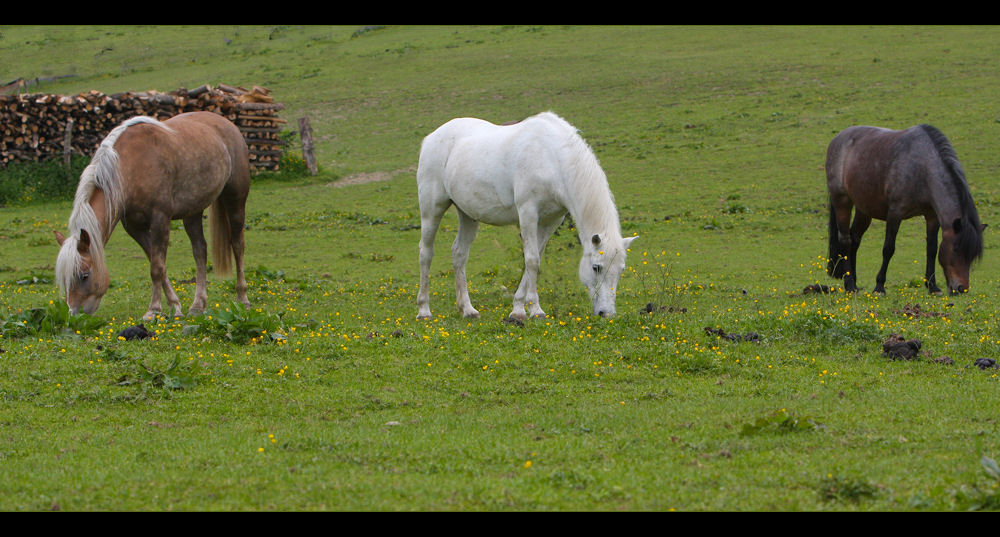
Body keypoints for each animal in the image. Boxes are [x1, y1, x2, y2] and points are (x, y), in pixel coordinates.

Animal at [53, 112, 254, 318]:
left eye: (84, 275)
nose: (74, 313)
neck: (130, 166)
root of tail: (227, 124)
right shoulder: (134, 227)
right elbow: (157, 263)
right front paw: (174, 306)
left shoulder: (160, 220)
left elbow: (156, 268)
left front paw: (153, 310)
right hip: (192, 212)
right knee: (200, 251)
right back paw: (198, 305)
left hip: (235, 201)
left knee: (237, 245)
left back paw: (243, 298)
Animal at [416, 109, 636, 318]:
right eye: (596, 267)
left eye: (621, 270)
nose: (606, 313)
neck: (552, 158)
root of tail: (432, 137)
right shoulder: (528, 212)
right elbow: (531, 260)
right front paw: (536, 310)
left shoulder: (551, 221)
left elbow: (534, 259)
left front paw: (519, 308)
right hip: (432, 209)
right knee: (426, 253)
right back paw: (424, 310)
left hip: (468, 215)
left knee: (459, 254)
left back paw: (467, 309)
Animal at [828, 124, 984, 296]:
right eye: (955, 249)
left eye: (972, 255)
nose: (962, 288)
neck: (922, 168)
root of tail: (838, 139)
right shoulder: (895, 214)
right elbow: (888, 249)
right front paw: (879, 286)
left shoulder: (932, 217)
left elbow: (932, 249)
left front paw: (933, 286)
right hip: (842, 201)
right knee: (845, 240)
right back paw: (849, 284)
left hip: (864, 210)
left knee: (854, 239)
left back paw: (854, 282)